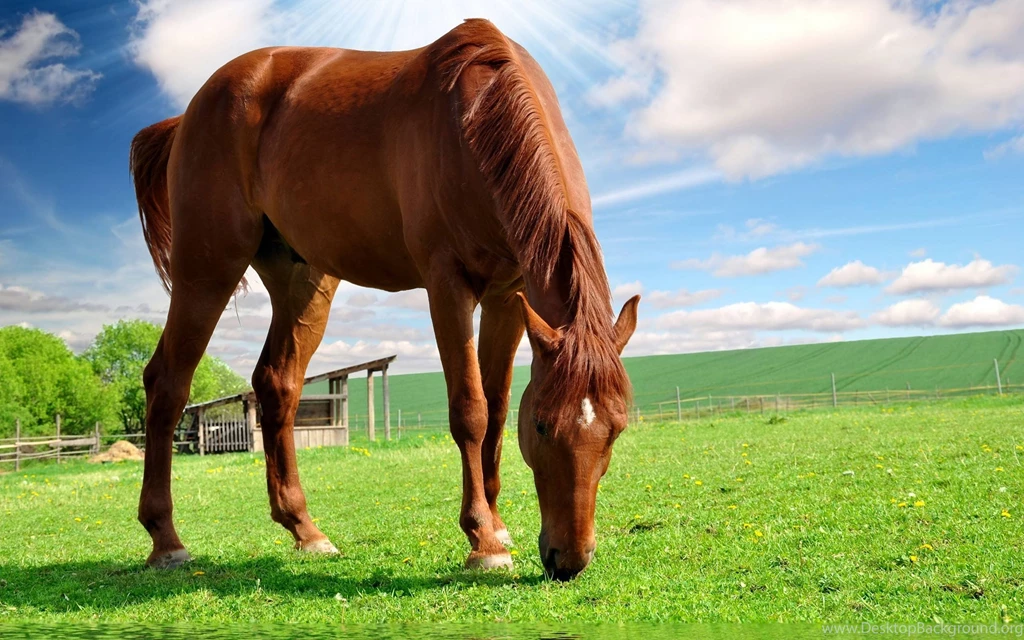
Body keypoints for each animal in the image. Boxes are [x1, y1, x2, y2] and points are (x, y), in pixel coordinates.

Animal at [129, 18, 639, 581]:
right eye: (544, 425)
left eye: (615, 430)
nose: (569, 560)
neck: (476, 120)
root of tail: (190, 113)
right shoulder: (447, 285)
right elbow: (471, 410)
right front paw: (484, 541)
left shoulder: (509, 296)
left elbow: (499, 409)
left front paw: (498, 523)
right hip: (207, 268)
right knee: (167, 384)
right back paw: (166, 540)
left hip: (303, 281)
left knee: (276, 384)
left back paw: (305, 530)